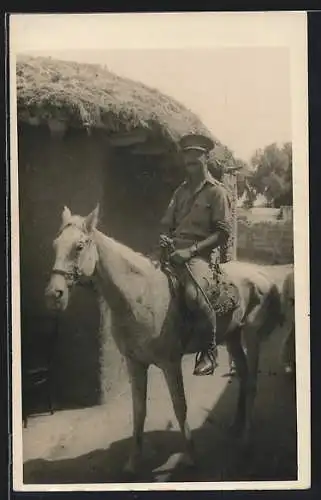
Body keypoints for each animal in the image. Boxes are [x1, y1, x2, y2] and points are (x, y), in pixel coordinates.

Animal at [44, 205, 280, 474]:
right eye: (55, 245)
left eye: (79, 247)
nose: (53, 295)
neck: (139, 295)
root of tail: (262, 275)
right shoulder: (135, 363)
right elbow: (139, 410)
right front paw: (133, 461)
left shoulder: (170, 363)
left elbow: (180, 406)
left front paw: (190, 456)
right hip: (232, 336)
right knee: (242, 374)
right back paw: (236, 426)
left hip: (252, 337)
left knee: (251, 383)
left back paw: (246, 439)